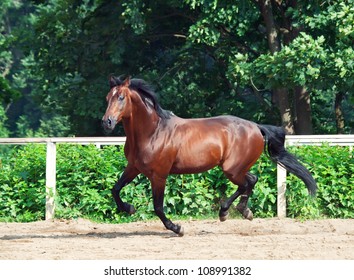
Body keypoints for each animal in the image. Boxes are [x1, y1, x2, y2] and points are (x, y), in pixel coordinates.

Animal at [101, 75, 316, 235]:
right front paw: (129, 208)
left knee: (246, 182)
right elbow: (115, 189)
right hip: (237, 168)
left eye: (121, 97)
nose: (107, 122)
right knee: (252, 179)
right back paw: (242, 211)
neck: (152, 132)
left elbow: (158, 207)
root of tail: (256, 127)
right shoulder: (133, 168)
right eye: (107, 97)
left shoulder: (159, 175)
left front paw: (177, 228)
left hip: (232, 169)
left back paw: (226, 212)